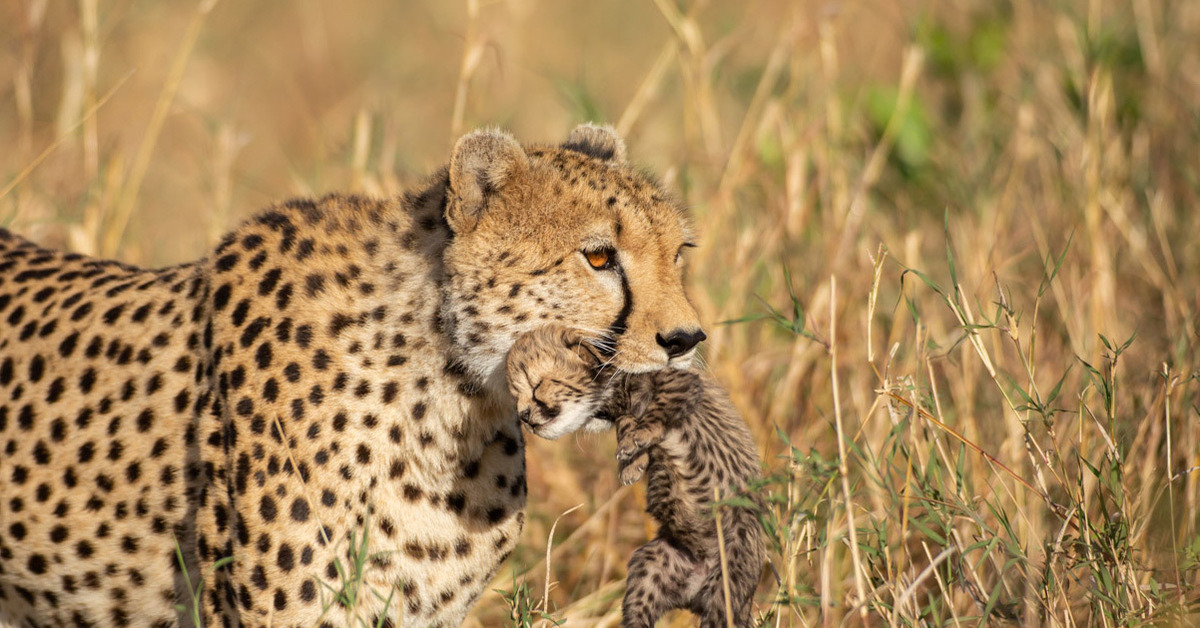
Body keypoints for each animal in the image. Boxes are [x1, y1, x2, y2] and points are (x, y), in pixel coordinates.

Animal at [504, 326, 763, 624]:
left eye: (537, 386)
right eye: (516, 394)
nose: (523, 416)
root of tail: (695, 593)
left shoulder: (679, 382)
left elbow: (656, 408)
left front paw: (639, 440)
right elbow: (627, 421)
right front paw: (632, 461)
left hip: (728, 587)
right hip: (652, 567)